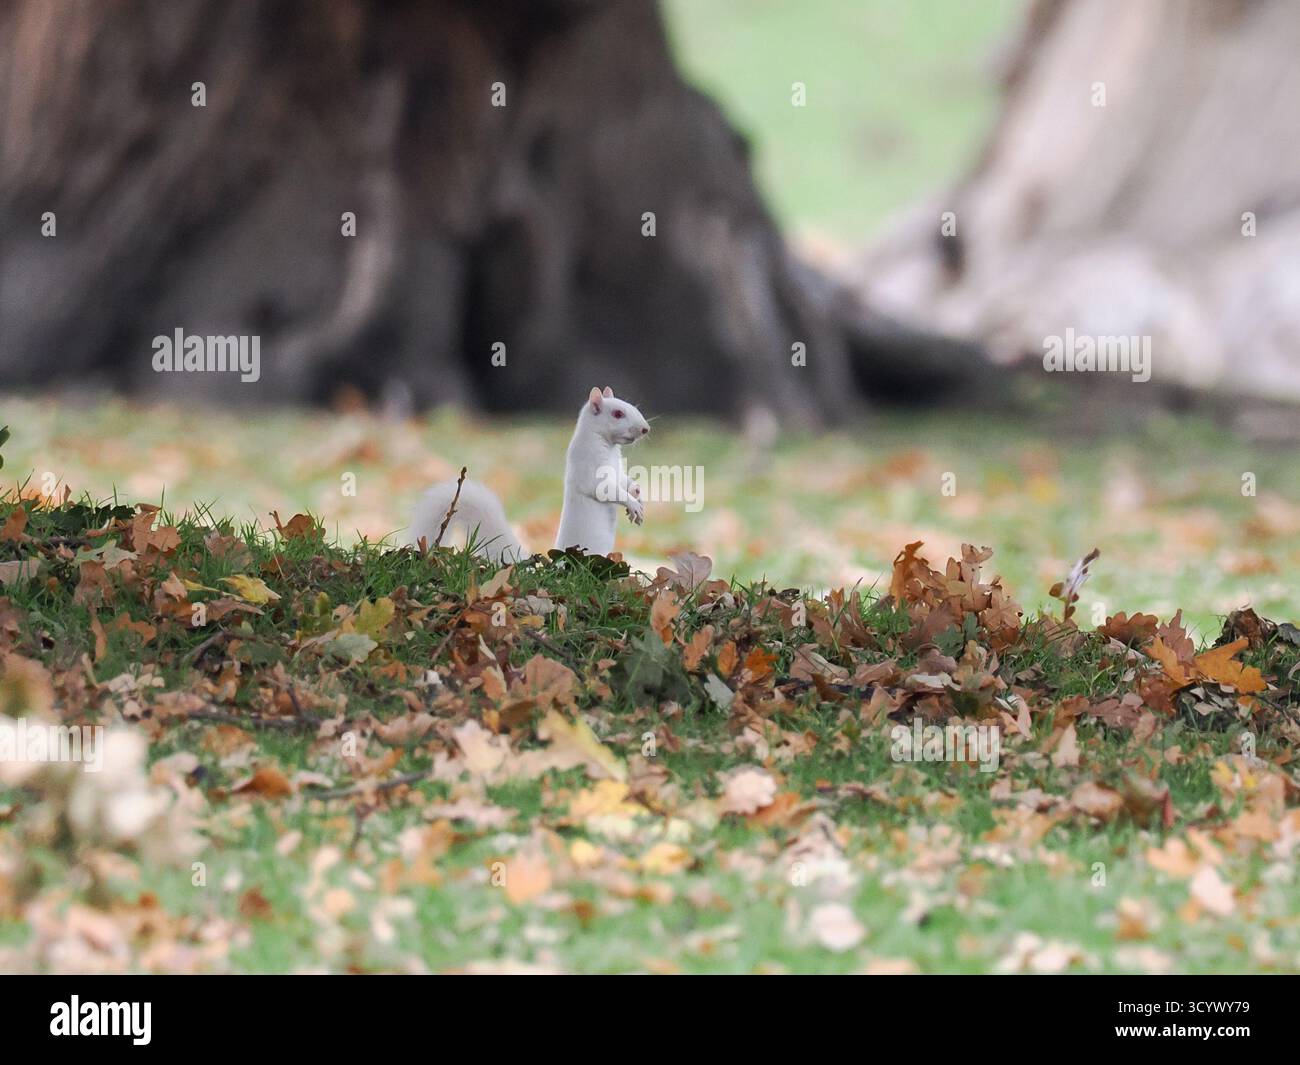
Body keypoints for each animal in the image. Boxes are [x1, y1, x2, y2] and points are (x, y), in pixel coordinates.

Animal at [411, 386, 651, 562]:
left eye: (631, 406)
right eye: (618, 414)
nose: (645, 429)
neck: (607, 445)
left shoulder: (617, 469)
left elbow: (624, 482)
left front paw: (637, 494)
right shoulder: (590, 466)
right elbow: (604, 490)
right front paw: (633, 504)